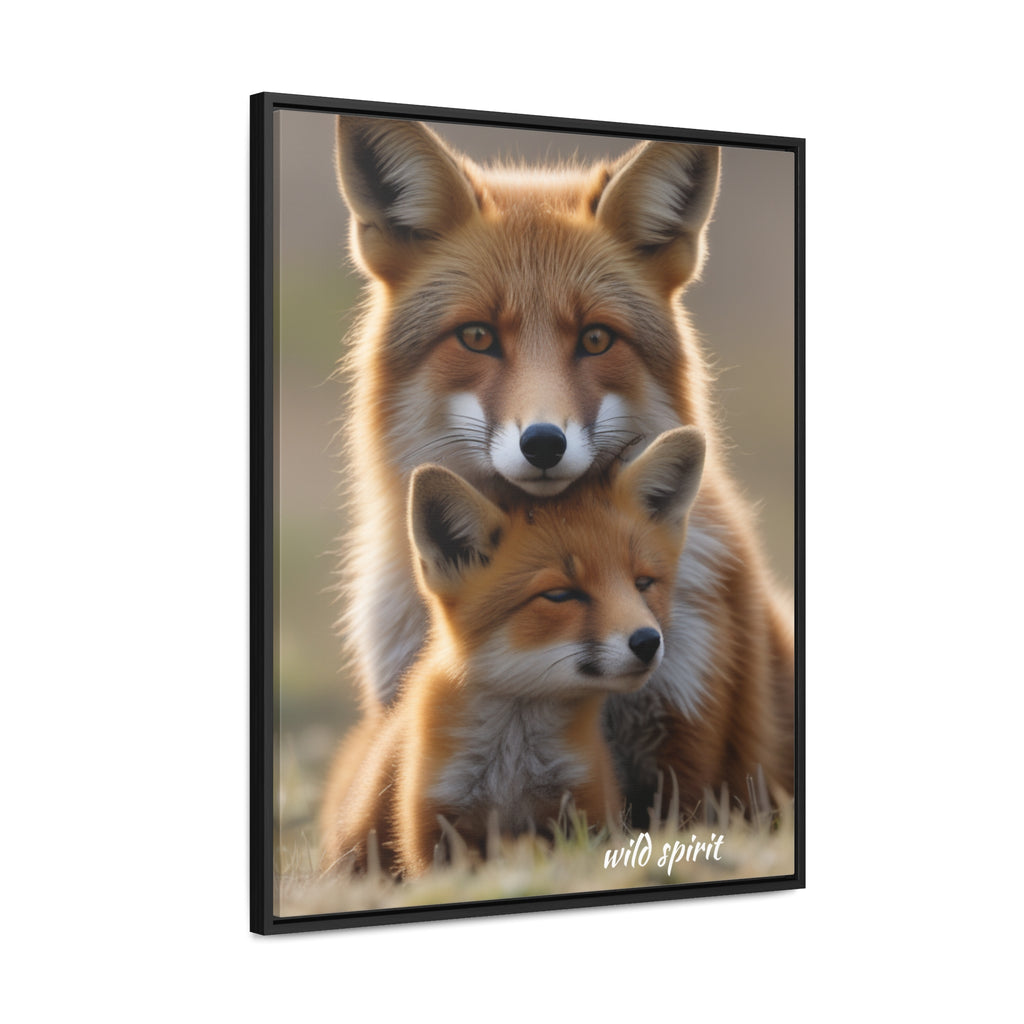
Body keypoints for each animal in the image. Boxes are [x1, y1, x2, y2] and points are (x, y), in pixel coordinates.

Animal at [320, 427, 706, 876]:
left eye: (643, 583)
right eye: (560, 595)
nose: (647, 641)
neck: (512, 770)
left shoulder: (586, 808)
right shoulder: (433, 828)